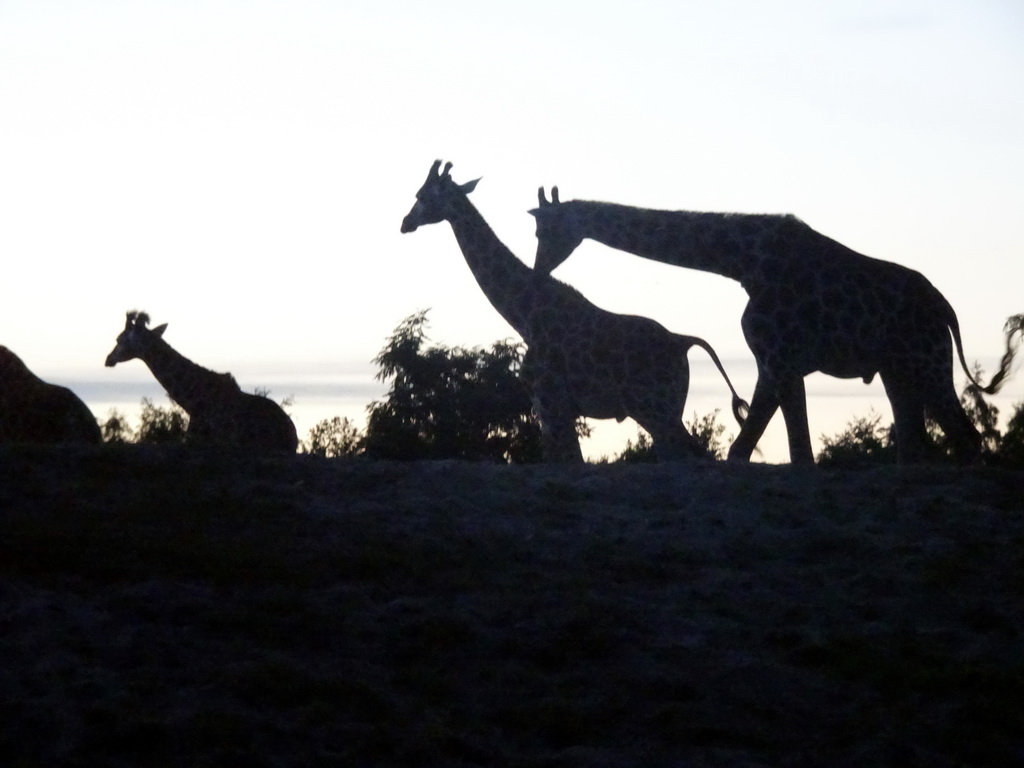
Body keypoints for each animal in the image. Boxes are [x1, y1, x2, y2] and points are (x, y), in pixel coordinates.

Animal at [395, 160, 749, 462]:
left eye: (421, 195)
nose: (404, 223)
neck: (524, 315)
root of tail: (681, 341)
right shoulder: (552, 408)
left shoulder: (550, 403)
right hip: (661, 410)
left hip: (656, 408)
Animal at [528, 189, 1015, 466]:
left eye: (542, 230)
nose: (537, 270)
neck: (743, 263)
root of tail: (945, 309)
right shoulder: (773, 362)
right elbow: (758, 449)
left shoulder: (780, 358)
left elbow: (786, 450)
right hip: (897, 369)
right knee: (916, 443)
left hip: (927, 361)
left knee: (966, 438)